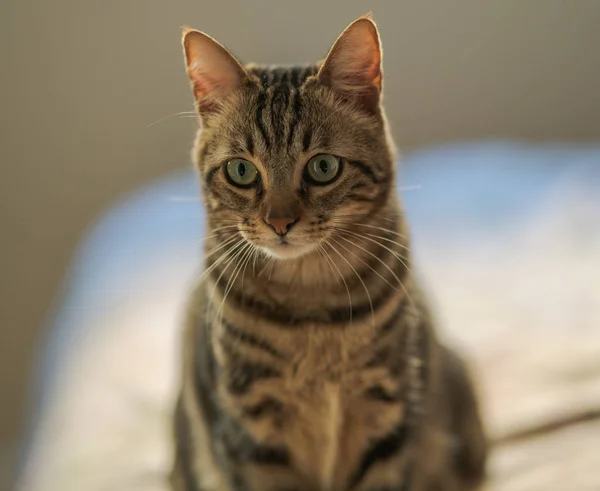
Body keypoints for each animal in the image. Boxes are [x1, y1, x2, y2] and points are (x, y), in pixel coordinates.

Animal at [170, 13, 488, 490]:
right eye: (241, 171)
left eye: (323, 167)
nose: (280, 222)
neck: (311, 310)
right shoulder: (249, 433)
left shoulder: (386, 412)